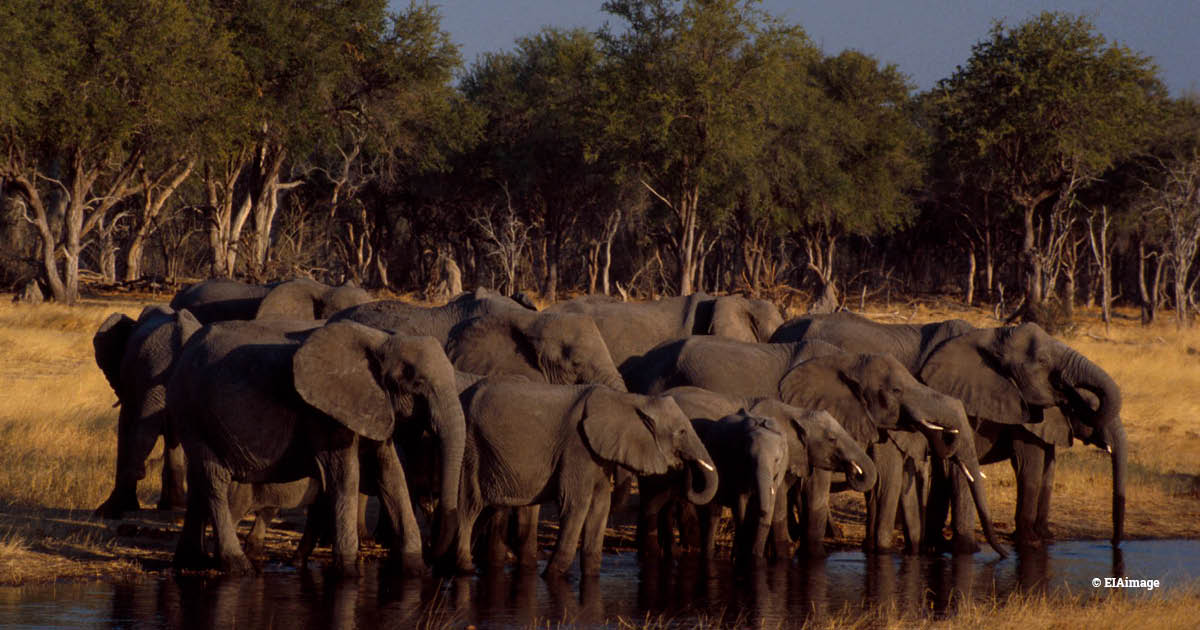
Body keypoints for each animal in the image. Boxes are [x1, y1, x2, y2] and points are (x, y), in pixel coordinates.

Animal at [167, 320, 467, 576]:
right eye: (417, 383)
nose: (434, 557)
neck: (380, 339)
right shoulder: (324, 412)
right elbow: (344, 475)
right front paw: (348, 574)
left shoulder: (375, 406)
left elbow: (391, 475)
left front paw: (415, 571)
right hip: (192, 412)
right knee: (214, 480)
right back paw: (238, 567)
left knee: (200, 482)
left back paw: (192, 561)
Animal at [450, 379, 718, 578]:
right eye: (681, 432)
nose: (684, 467)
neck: (629, 399)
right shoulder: (577, 446)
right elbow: (575, 503)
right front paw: (552, 576)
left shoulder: (597, 453)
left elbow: (600, 505)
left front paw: (589, 575)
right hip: (470, 447)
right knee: (469, 506)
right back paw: (465, 569)